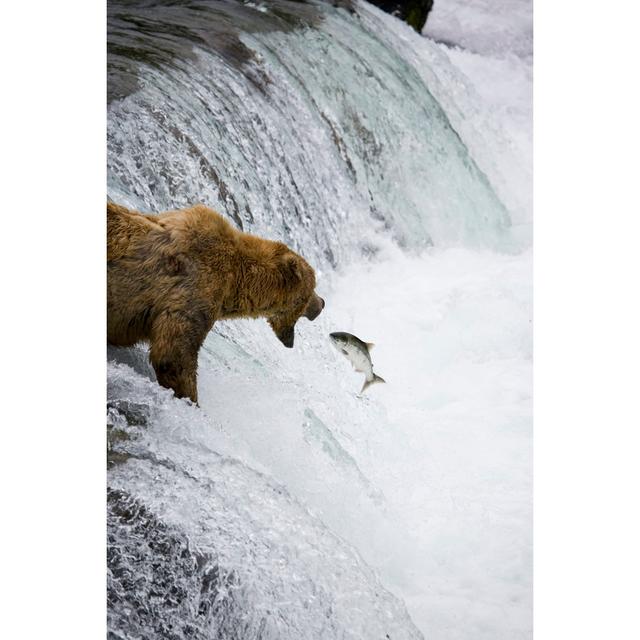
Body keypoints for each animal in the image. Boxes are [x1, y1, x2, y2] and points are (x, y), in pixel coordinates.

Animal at [107, 202, 324, 402]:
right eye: (311, 290)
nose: (321, 304)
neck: (235, 283)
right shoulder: (196, 288)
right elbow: (173, 355)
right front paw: (191, 401)